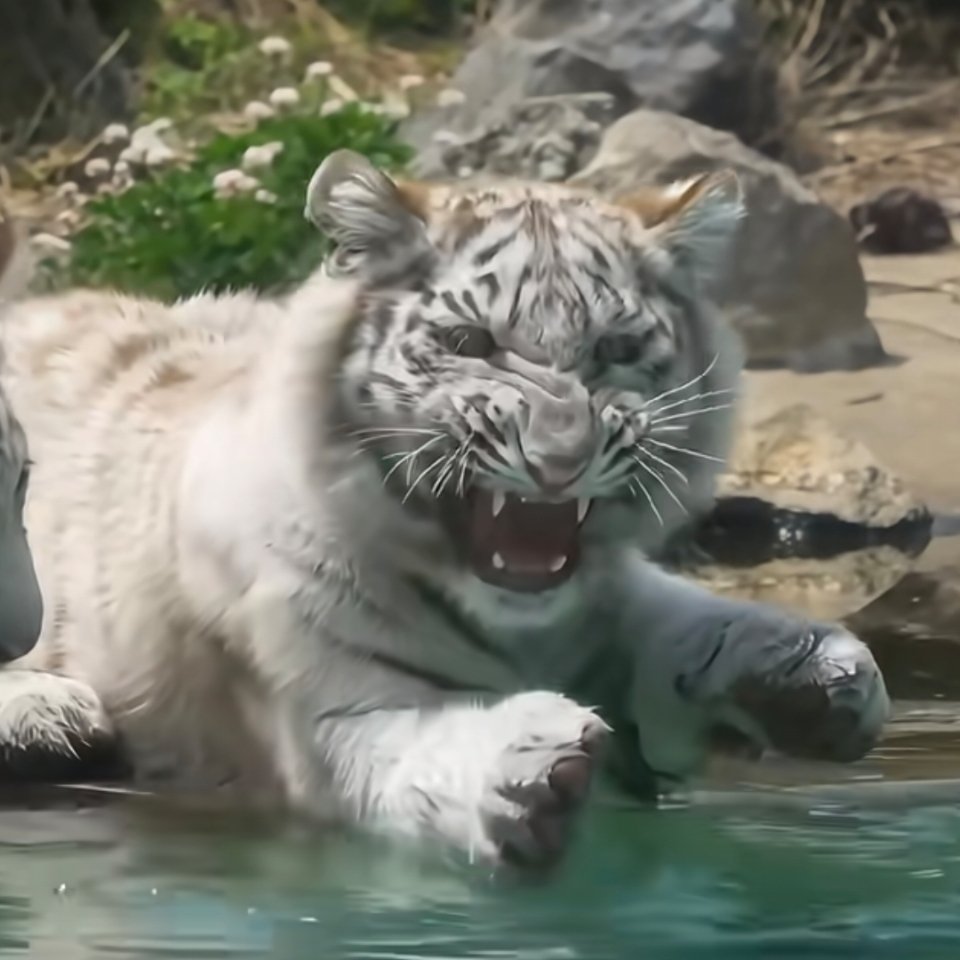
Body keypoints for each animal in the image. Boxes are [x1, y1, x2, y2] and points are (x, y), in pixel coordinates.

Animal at [0, 150, 889, 868]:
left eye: (616, 351)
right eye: (472, 345)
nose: (560, 459)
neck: (521, 624)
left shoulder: (608, 601)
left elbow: (678, 618)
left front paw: (816, 674)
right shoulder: (324, 720)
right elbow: (421, 746)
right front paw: (529, 765)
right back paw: (46, 712)